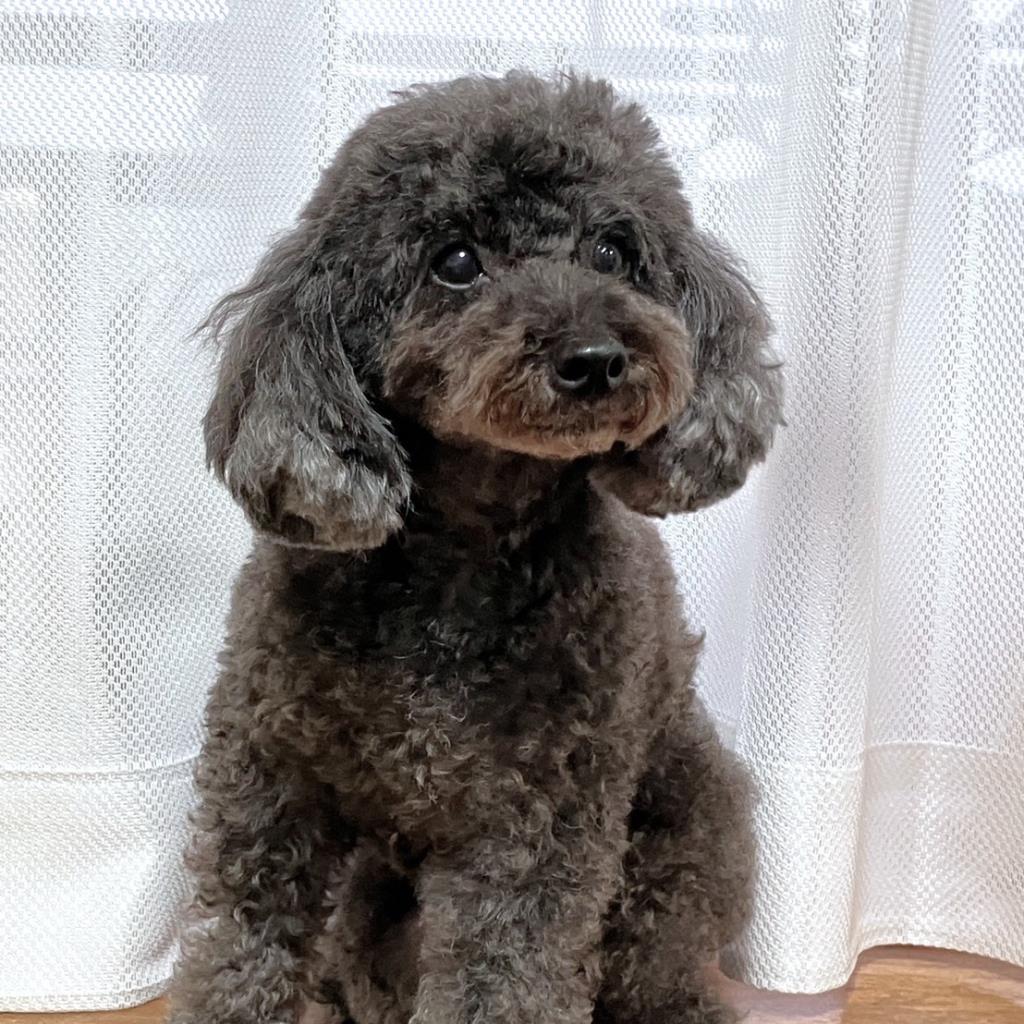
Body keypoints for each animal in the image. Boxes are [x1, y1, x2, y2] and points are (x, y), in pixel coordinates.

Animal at [170, 72, 782, 1024]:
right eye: (455, 261)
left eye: (612, 251)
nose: (596, 358)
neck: (458, 557)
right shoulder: (270, 778)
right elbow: (244, 948)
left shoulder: (532, 821)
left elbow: (506, 973)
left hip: (685, 844)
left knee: (657, 973)